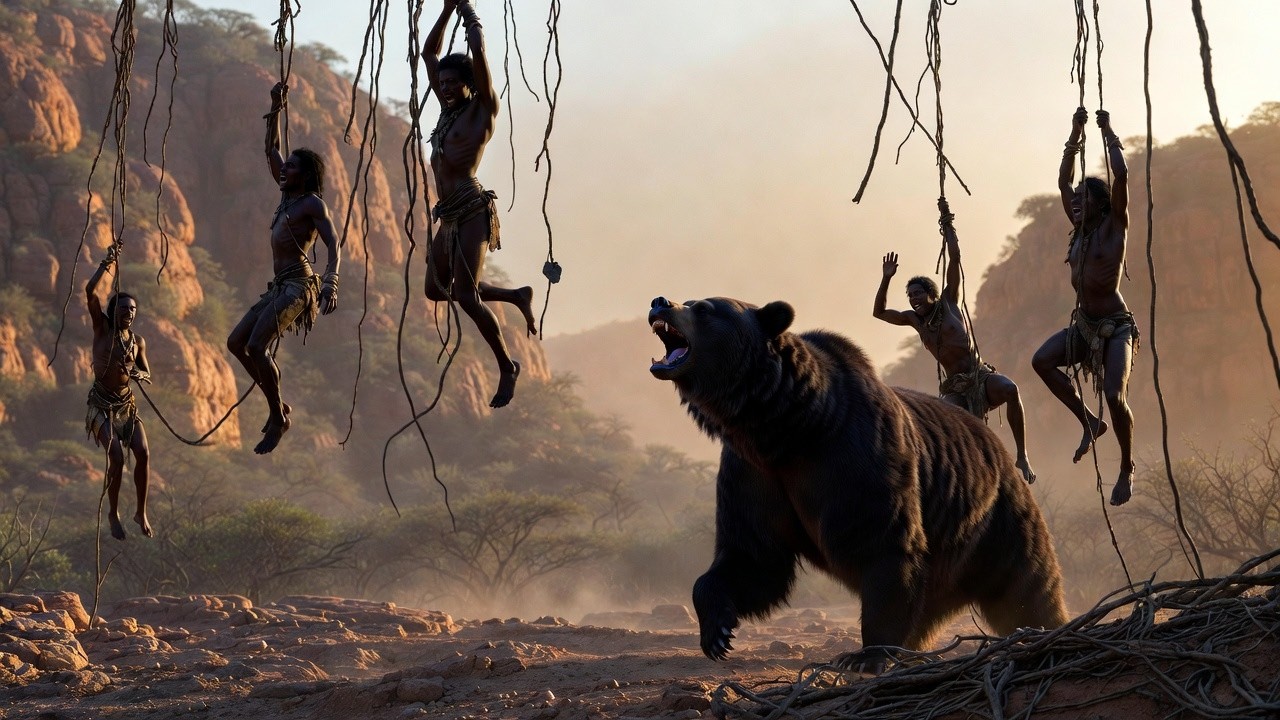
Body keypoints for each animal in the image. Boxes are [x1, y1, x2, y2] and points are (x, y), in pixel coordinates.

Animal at [647, 295, 1068, 670]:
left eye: (703, 308)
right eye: (690, 300)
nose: (659, 302)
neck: (787, 426)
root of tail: (996, 442)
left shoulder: (855, 460)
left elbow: (884, 545)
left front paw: (865, 655)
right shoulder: (754, 473)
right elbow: (753, 555)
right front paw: (718, 633)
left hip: (998, 518)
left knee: (1026, 586)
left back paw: (1049, 630)